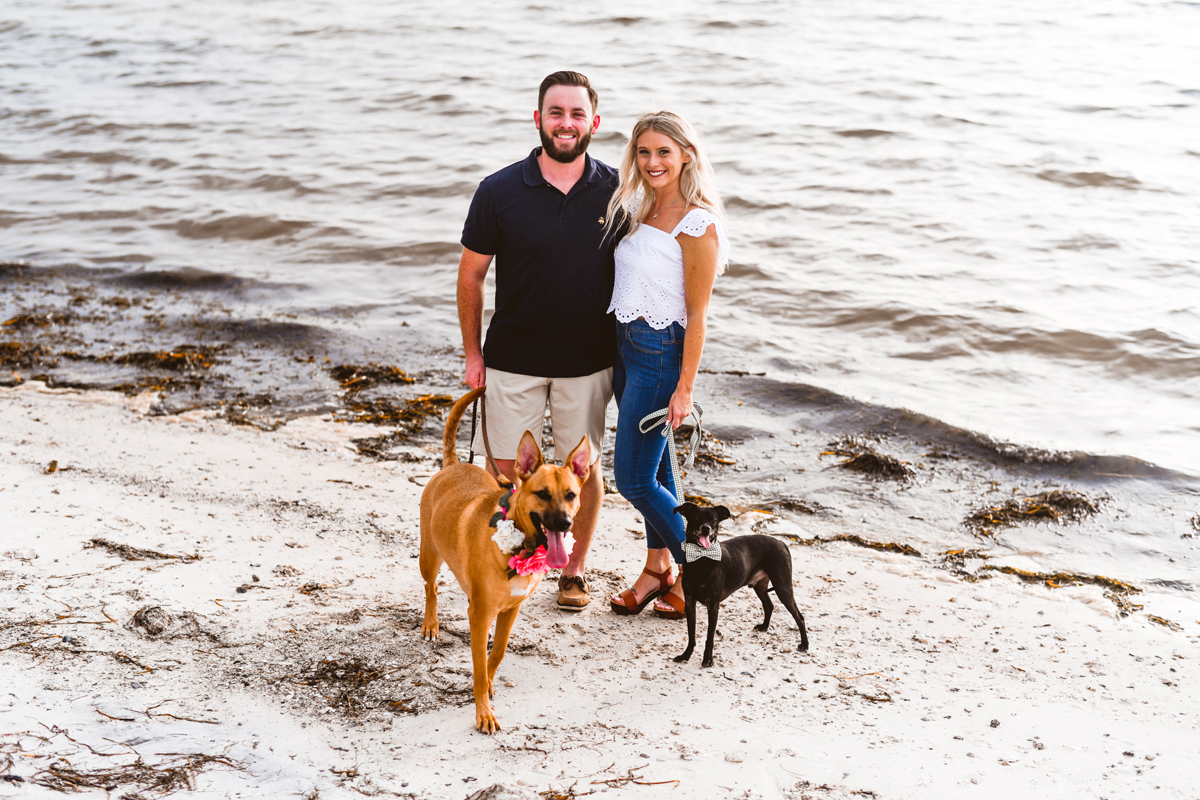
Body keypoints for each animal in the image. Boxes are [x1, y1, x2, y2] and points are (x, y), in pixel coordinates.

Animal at [420, 386, 592, 734]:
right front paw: (483, 711)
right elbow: (477, 666)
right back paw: (431, 623)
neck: (522, 546)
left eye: (571, 494)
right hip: (428, 556)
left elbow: (496, 654)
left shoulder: (510, 610)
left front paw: (489, 683)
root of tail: (452, 465)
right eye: (542, 493)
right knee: (431, 588)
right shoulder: (480, 616)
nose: (564, 523)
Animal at [676, 501, 806, 671]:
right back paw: (764, 627)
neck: (701, 559)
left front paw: (708, 659)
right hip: (760, 587)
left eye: (714, 521)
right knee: (769, 605)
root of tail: (782, 543)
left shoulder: (713, 606)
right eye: (696, 518)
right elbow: (691, 635)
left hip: (783, 587)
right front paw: (685, 655)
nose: (706, 528)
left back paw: (804, 645)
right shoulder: (690, 604)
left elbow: (710, 637)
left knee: (799, 616)